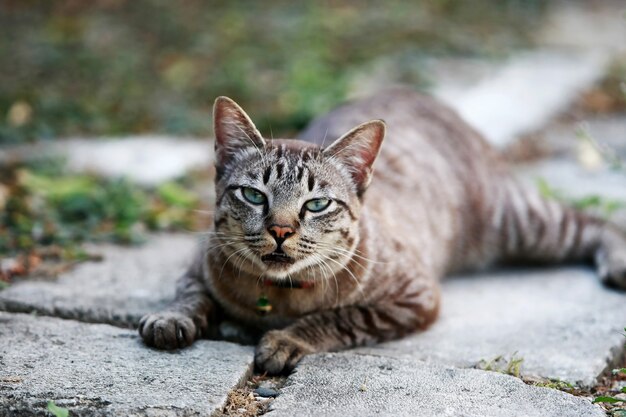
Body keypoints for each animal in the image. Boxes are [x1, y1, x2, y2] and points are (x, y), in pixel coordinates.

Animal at [139, 88, 624, 374]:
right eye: (254, 195)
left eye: (316, 204)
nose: (280, 229)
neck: (275, 298)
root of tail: (416, 92)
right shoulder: (198, 261)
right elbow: (190, 293)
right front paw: (171, 317)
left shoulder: (415, 297)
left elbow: (339, 317)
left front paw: (286, 339)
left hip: (520, 223)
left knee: (595, 221)